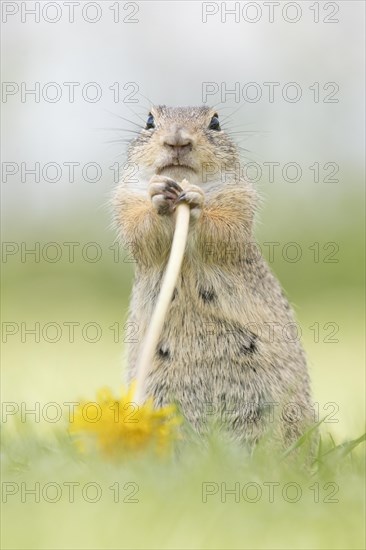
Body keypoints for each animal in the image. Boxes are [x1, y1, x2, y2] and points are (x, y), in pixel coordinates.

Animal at [113, 106, 312, 448]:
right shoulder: (125, 200)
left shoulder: (239, 198)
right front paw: (157, 196)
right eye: (149, 121)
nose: (177, 139)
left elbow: (225, 229)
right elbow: (140, 228)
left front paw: (196, 201)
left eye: (215, 122)